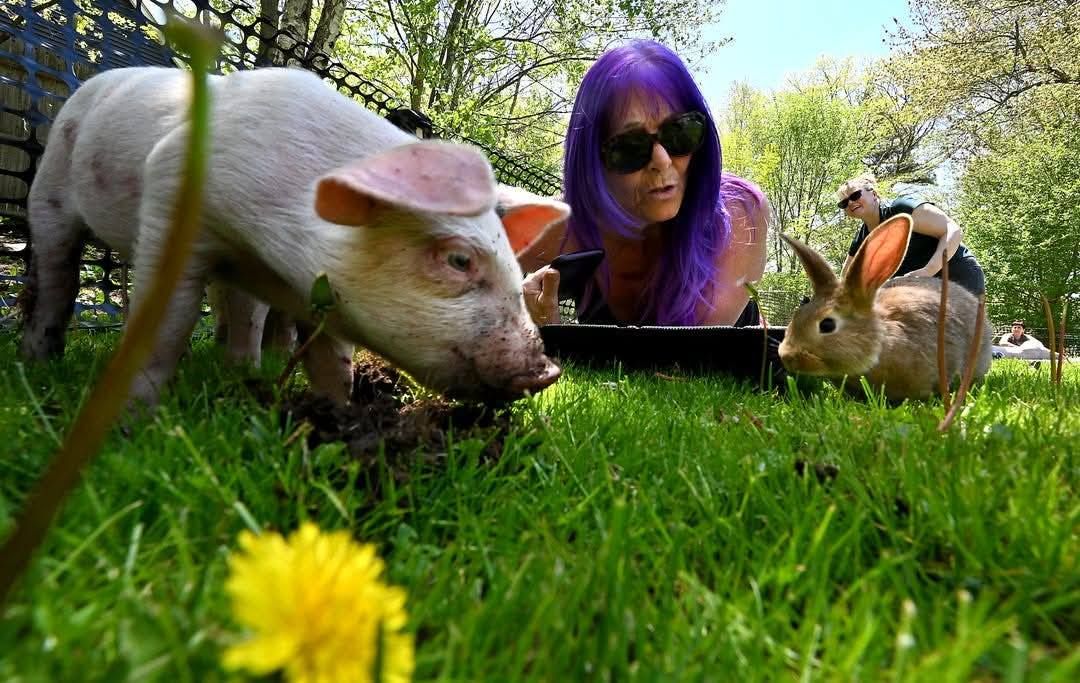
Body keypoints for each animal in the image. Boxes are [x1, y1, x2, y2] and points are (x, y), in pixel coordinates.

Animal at [21, 65, 570, 406]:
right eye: (458, 260)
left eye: (513, 264)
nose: (549, 371)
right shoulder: (169, 200)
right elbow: (165, 326)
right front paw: (134, 423)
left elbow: (331, 360)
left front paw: (338, 415)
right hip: (48, 190)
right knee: (55, 276)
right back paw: (38, 364)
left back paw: (241, 373)